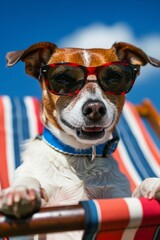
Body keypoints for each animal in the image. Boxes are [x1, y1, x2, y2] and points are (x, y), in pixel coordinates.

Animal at [0, 41, 160, 240]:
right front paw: (21, 191)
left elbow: (137, 191)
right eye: (63, 79)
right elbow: (28, 180)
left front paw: (153, 183)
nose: (95, 108)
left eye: (114, 77)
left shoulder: (119, 198)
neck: (80, 156)